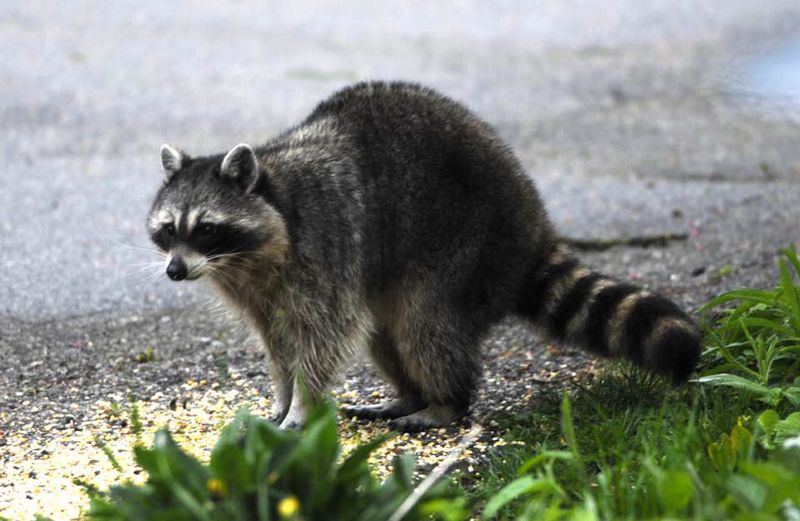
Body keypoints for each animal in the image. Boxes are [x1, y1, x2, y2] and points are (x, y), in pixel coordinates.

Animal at [147, 81, 701, 432]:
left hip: (469, 248)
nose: (175, 271)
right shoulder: (258, 291)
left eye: (206, 229)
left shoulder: (324, 250)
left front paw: (302, 405)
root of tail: (535, 228)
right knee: (387, 332)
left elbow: (324, 339)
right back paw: (411, 394)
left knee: (426, 326)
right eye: (169, 230)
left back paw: (445, 404)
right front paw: (282, 399)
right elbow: (278, 345)